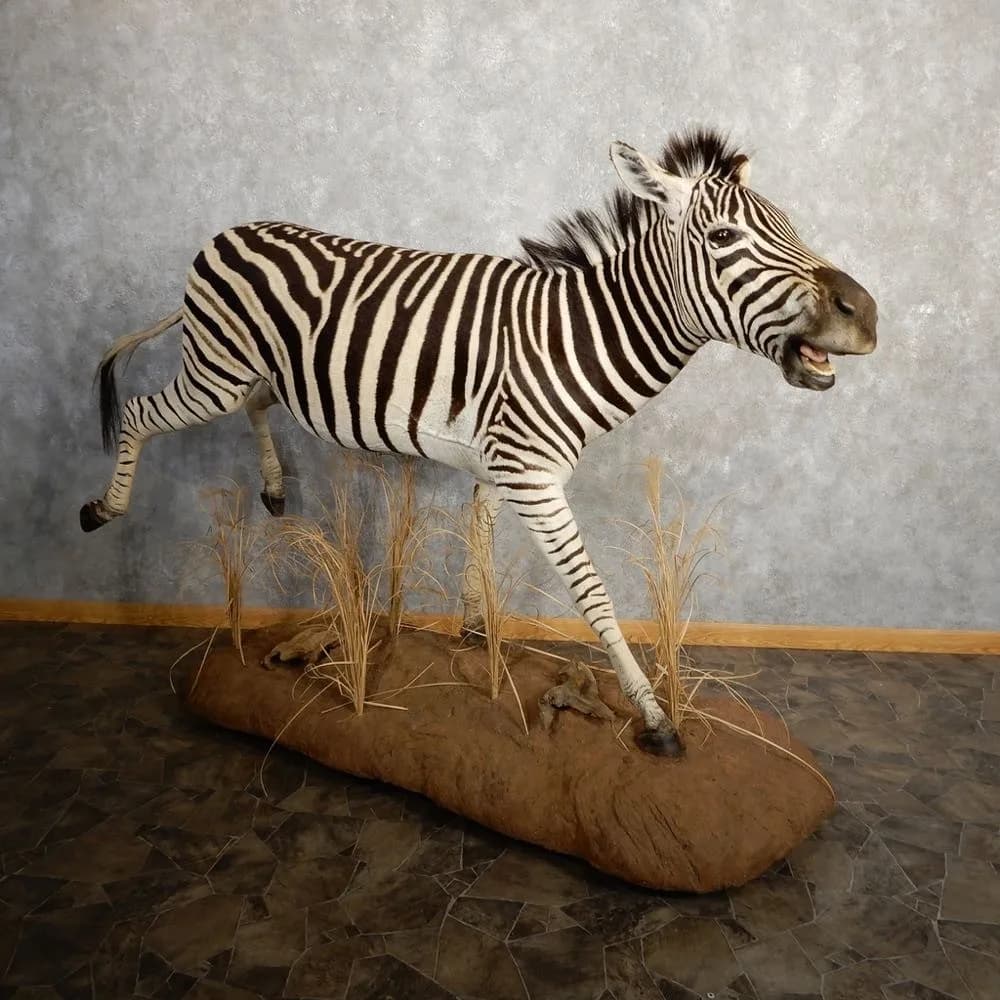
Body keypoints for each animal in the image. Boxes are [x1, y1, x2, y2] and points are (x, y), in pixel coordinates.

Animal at [80, 128, 877, 757]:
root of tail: (227, 233)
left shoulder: (500, 463)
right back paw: (104, 508)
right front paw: (654, 715)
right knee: (142, 412)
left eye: (791, 226)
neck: (573, 339)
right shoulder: (533, 475)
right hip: (214, 367)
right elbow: (592, 591)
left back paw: (275, 487)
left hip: (258, 370)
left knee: (255, 404)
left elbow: (480, 536)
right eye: (723, 239)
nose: (866, 315)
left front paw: (472, 634)